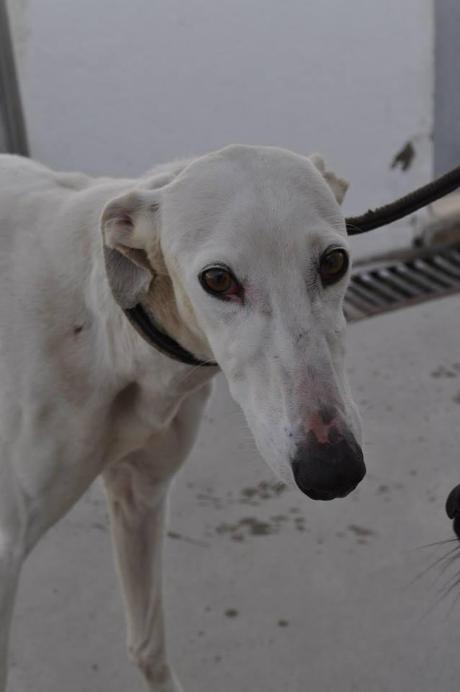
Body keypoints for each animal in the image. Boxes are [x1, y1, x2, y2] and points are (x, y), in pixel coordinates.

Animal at [0, 143, 366, 688]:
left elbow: (147, 647)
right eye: (217, 279)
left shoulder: (140, 495)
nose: (334, 469)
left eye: (334, 261)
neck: (106, 330)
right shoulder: (5, 547)